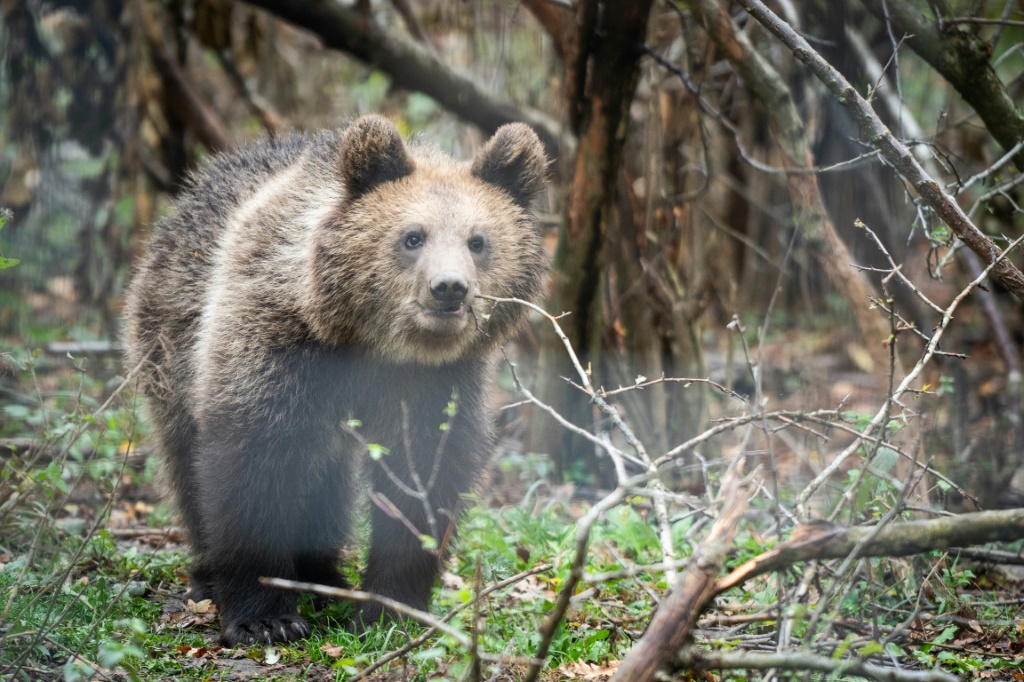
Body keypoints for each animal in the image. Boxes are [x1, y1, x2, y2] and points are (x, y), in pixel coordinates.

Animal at [122, 115, 548, 643]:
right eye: (413, 236)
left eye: (478, 240)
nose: (449, 288)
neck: (369, 343)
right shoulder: (277, 351)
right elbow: (250, 467)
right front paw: (265, 617)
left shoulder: (431, 383)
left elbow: (423, 476)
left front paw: (390, 610)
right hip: (170, 344)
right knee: (188, 460)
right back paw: (210, 575)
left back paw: (325, 574)